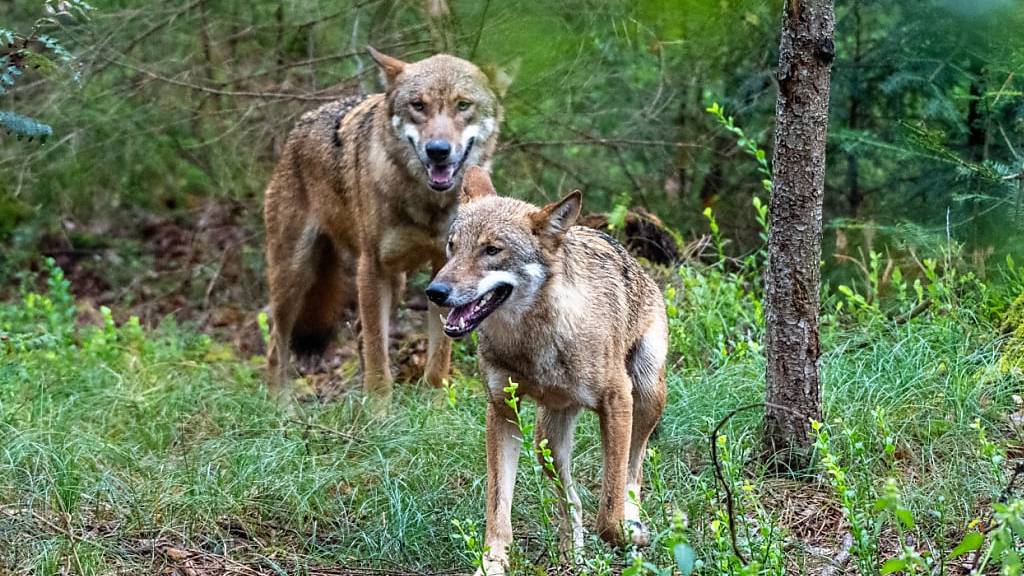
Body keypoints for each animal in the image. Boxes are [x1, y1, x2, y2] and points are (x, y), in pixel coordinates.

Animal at [260, 45, 507, 399]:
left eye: (463, 105)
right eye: (418, 105)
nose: (438, 151)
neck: (427, 202)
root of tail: (299, 126)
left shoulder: (445, 271)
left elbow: (438, 356)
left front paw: (433, 402)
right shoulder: (372, 268)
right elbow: (379, 357)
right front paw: (378, 409)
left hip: (395, 282)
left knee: (358, 330)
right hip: (294, 276)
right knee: (275, 344)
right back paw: (280, 405)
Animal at [425, 166, 671, 569]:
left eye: (491, 250)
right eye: (452, 246)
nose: (435, 292)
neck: (533, 341)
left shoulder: (617, 400)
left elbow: (610, 510)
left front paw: (629, 532)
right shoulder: (502, 411)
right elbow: (498, 507)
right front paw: (491, 564)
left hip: (648, 395)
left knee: (633, 474)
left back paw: (632, 525)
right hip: (547, 441)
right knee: (571, 499)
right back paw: (574, 556)